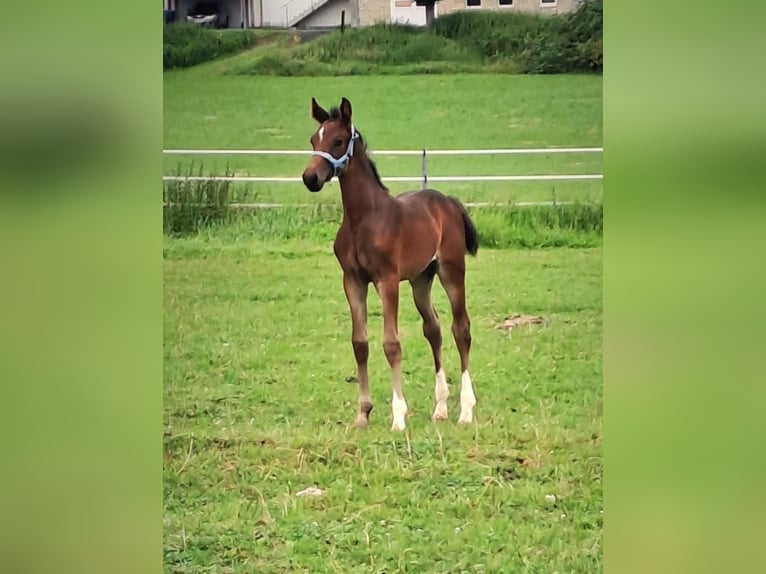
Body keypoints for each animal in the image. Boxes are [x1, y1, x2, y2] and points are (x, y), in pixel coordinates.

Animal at [302, 98, 476, 432]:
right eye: (313, 140)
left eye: (338, 141)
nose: (310, 178)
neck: (363, 219)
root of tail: (447, 201)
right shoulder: (353, 280)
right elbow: (360, 343)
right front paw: (362, 413)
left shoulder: (387, 280)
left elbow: (391, 344)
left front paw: (398, 416)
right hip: (421, 279)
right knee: (433, 328)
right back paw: (440, 408)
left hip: (451, 270)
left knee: (460, 329)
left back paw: (465, 410)